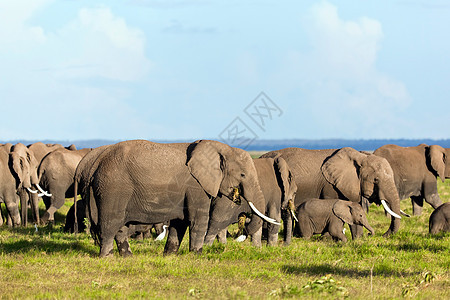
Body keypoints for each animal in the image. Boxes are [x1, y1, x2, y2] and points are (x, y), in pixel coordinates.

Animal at [74, 139, 278, 256]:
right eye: (242, 175)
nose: (245, 223)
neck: (219, 148)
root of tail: (95, 163)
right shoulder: (196, 186)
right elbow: (197, 221)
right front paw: (197, 256)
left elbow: (179, 223)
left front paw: (170, 255)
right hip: (113, 188)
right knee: (111, 223)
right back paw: (107, 257)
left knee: (120, 227)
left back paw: (127, 257)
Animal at [260, 146, 404, 238]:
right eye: (376, 180)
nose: (383, 235)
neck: (360, 156)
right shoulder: (330, 185)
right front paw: (328, 238)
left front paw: (358, 240)